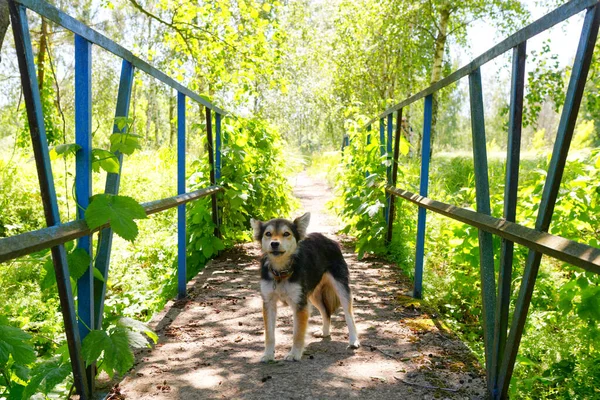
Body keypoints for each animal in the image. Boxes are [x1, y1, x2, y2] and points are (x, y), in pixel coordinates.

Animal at [250, 212, 358, 362]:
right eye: (268, 234)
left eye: (286, 233)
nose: (274, 243)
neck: (281, 272)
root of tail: (327, 239)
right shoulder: (269, 303)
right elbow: (269, 334)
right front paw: (268, 355)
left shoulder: (300, 304)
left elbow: (298, 333)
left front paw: (294, 354)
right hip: (313, 295)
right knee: (326, 312)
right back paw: (325, 332)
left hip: (341, 289)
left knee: (349, 315)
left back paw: (353, 340)